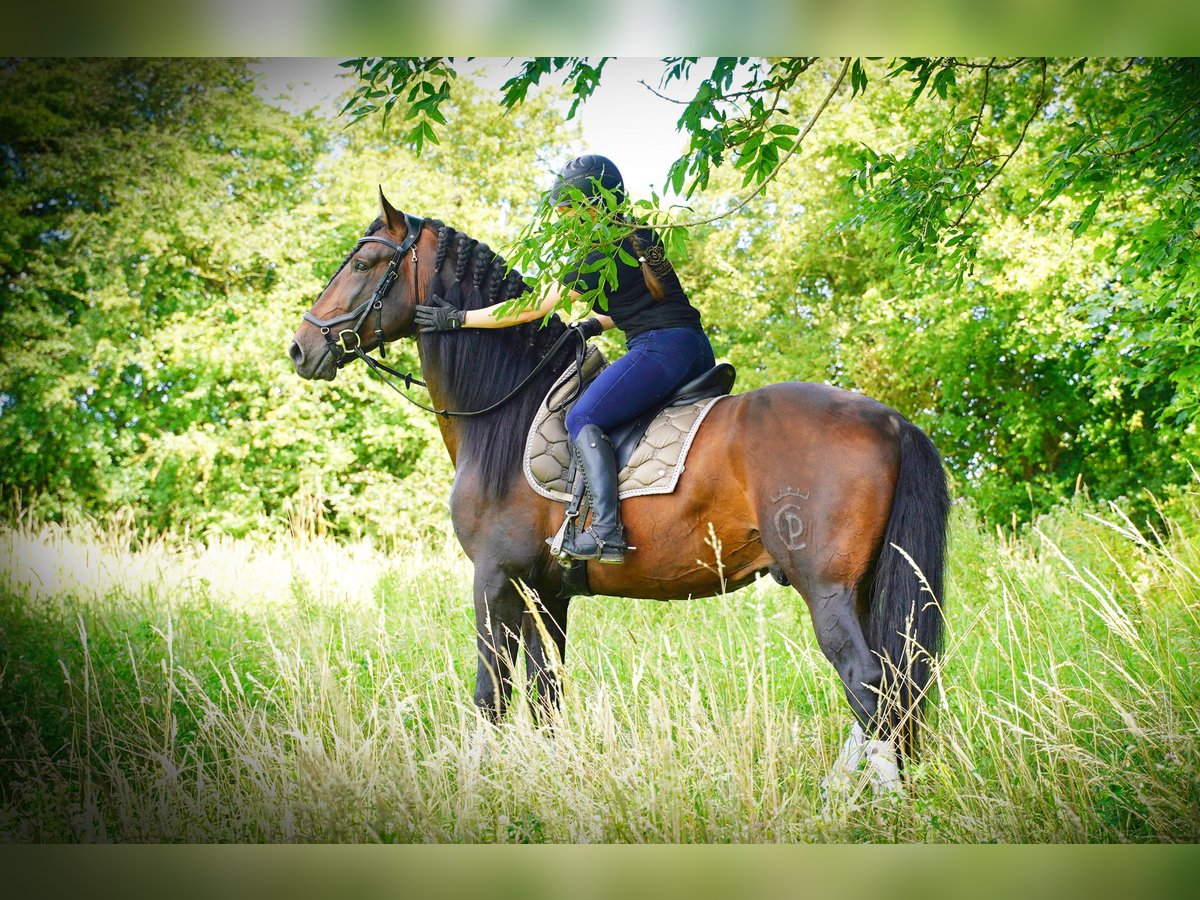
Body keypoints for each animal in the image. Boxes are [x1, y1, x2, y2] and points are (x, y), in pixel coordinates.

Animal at [290, 194, 945, 777]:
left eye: (364, 265)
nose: (301, 346)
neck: (507, 407)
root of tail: (889, 419)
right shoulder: (546, 593)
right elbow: (546, 695)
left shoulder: (495, 578)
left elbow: (491, 695)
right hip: (862, 587)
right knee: (891, 689)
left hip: (827, 588)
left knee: (869, 684)